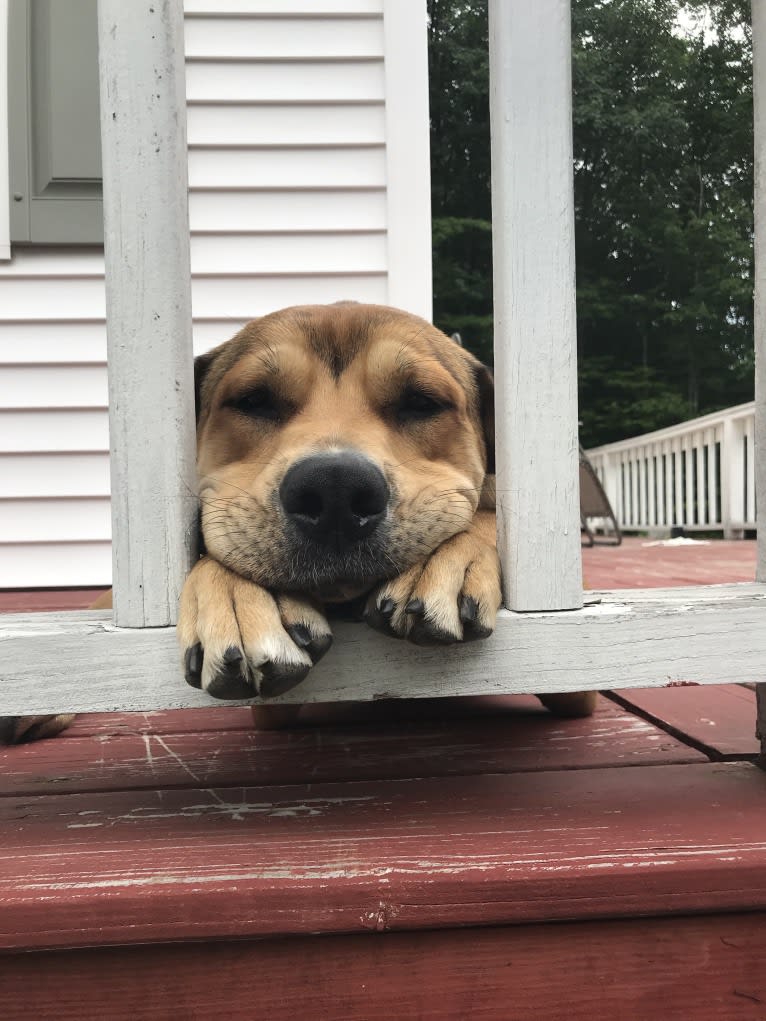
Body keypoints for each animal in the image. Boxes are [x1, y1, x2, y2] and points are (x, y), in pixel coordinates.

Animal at [1, 298, 592, 743]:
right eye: (253, 401)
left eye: (421, 402)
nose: (334, 491)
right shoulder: (271, 712)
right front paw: (242, 597)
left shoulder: (574, 679)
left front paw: (450, 557)